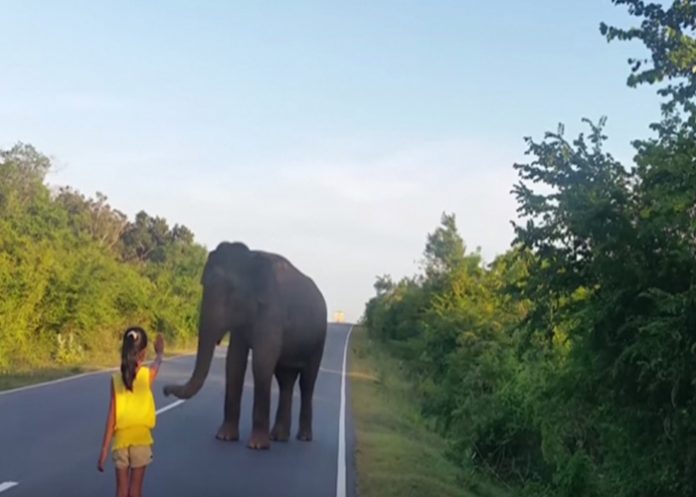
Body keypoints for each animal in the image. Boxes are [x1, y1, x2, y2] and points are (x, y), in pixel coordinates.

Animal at [163, 241, 327, 450]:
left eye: (231, 290)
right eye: (204, 284)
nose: (164, 390)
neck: (252, 256)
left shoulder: (272, 312)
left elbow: (262, 362)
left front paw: (257, 446)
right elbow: (234, 362)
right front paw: (225, 437)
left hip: (319, 339)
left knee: (307, 382)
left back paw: (303, 437)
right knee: (286, 381)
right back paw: (278, 437)